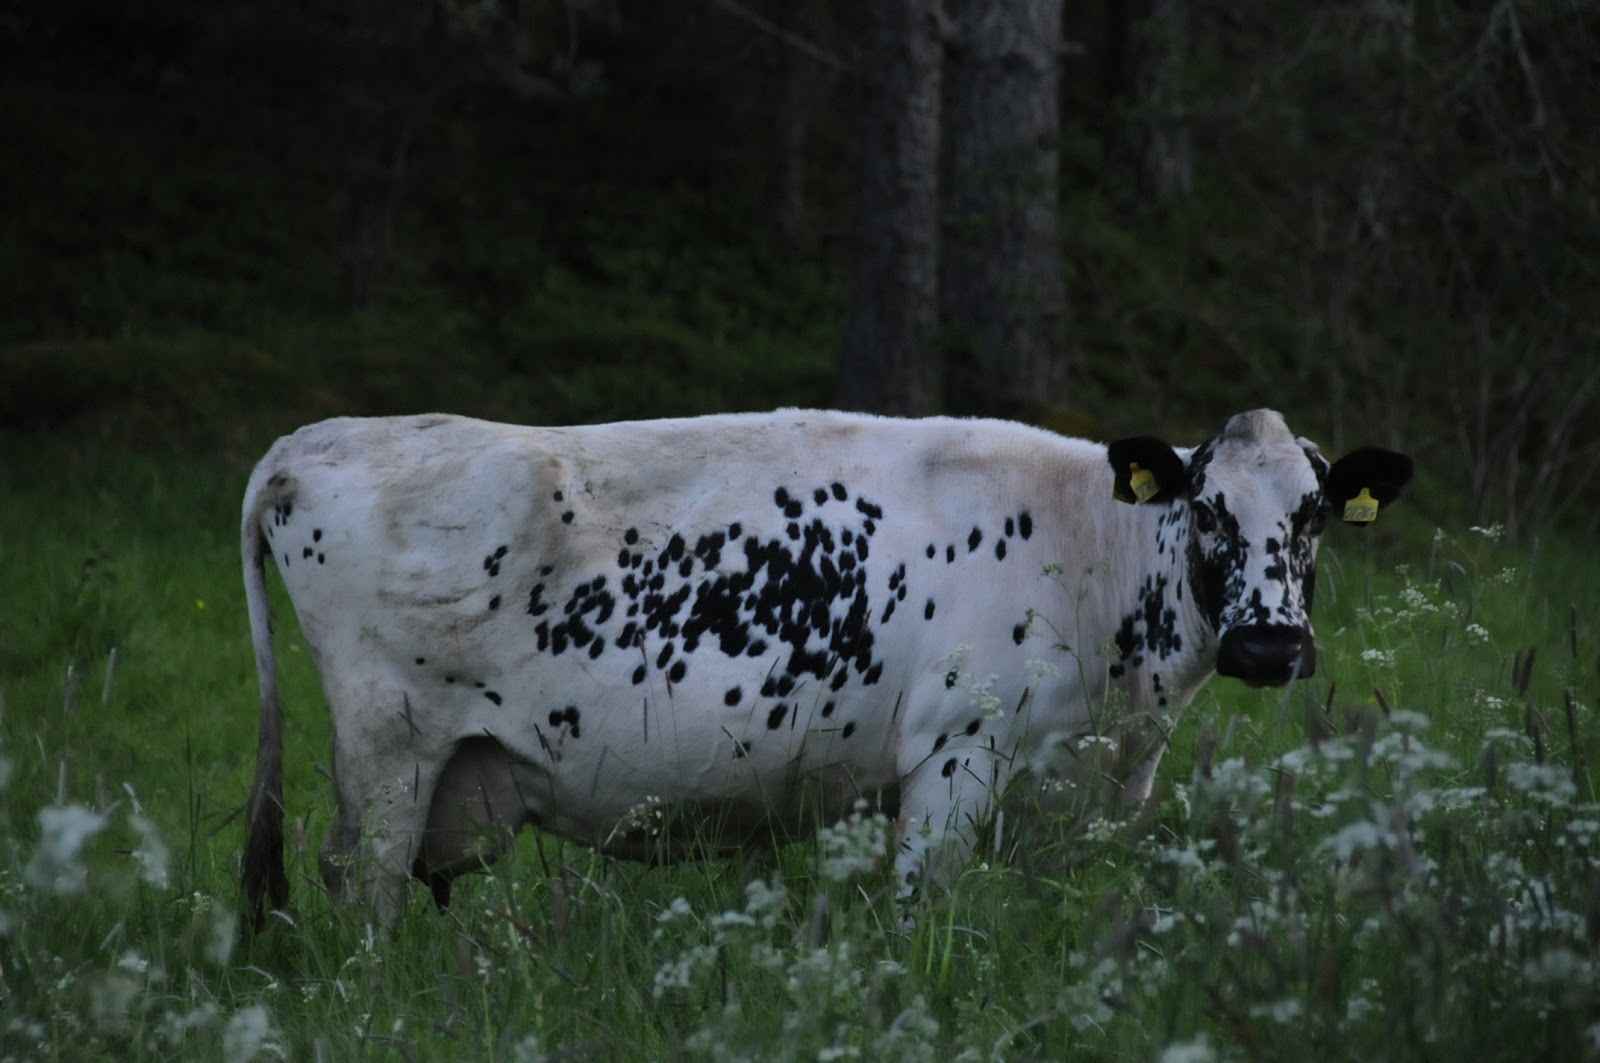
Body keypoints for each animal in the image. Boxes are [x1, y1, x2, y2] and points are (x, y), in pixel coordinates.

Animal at [241, 408, 1411, 926]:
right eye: (1207, 509)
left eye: (1314, 515)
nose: (1267, 642)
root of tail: (315, 439)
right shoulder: (955, 751)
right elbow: (920, 904)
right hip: (389, 753)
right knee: (359, 886)